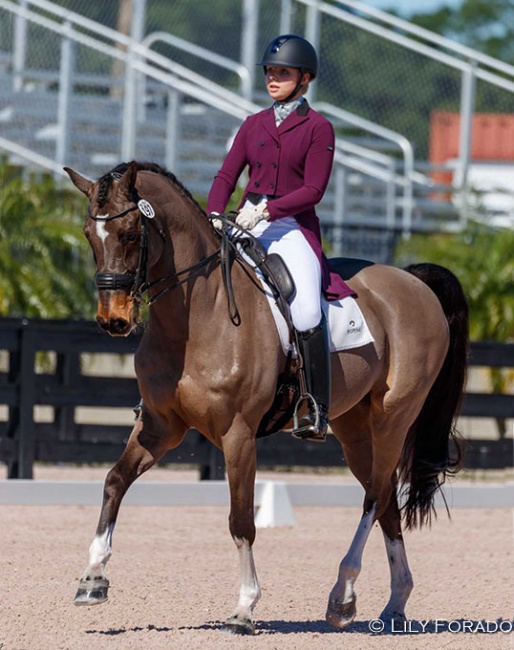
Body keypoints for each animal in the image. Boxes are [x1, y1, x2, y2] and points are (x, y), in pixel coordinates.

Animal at [63, 159, 464, 632]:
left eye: (128, 234)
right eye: (89, 234)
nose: (114, 321)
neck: (197, 314)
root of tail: (412, 281)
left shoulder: (237, 434)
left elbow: (241, 521)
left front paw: (244, 607)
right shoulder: (160, 427)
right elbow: (114, 481)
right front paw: (92, 579)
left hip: (393, 417)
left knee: (377, 495)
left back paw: (343, 594)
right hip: (353, 427)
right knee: (384, 499)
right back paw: (392, 602)